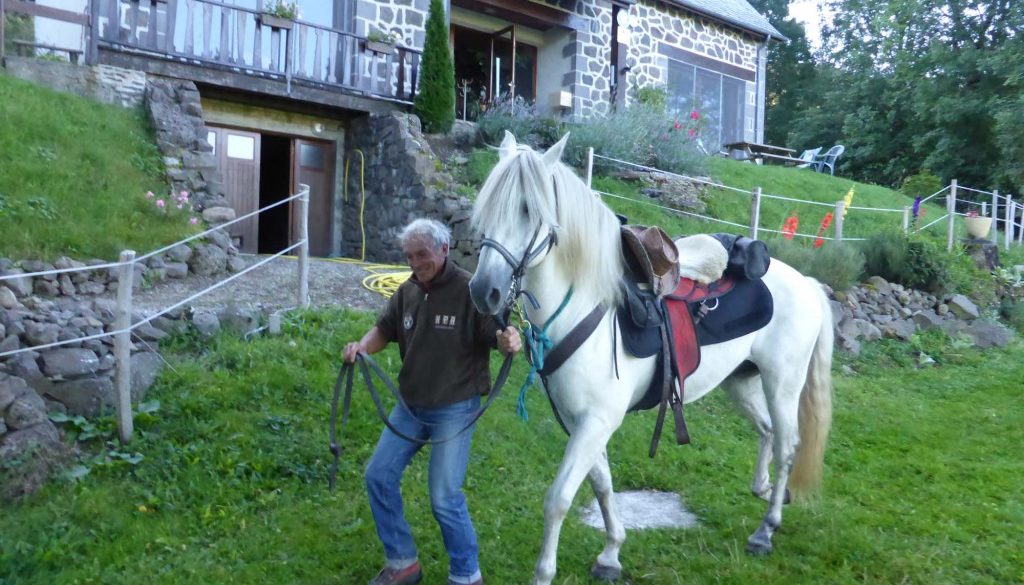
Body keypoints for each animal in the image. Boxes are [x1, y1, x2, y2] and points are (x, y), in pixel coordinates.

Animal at [468, 134, 831, 585]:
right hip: (741, 382)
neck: (585, 306)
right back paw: (762, 490)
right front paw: (611, 554)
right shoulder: (581, 422)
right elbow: (602, 485)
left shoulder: (596, 421)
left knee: (786, 445)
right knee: (766, 432)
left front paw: (544, 573)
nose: (484, 291)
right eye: (486, 205)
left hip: (783, 383)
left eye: (527, 209)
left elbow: (559, 499)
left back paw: (766, 529)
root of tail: (807, 283)